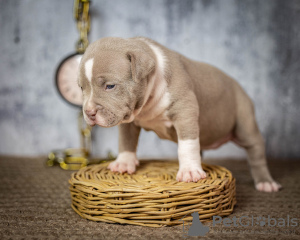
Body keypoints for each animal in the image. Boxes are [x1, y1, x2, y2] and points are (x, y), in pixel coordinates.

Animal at [78, 36, 282, 192]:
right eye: (81, 88)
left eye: (110, 86)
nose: (89, 112)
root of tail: (239, 87)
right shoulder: (129, 118)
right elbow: (126, 141)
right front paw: (124, 163)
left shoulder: (186, 111)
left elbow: (187, 144)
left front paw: (190, 171)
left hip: (244, 121)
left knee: (256, 151)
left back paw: (265, 182)